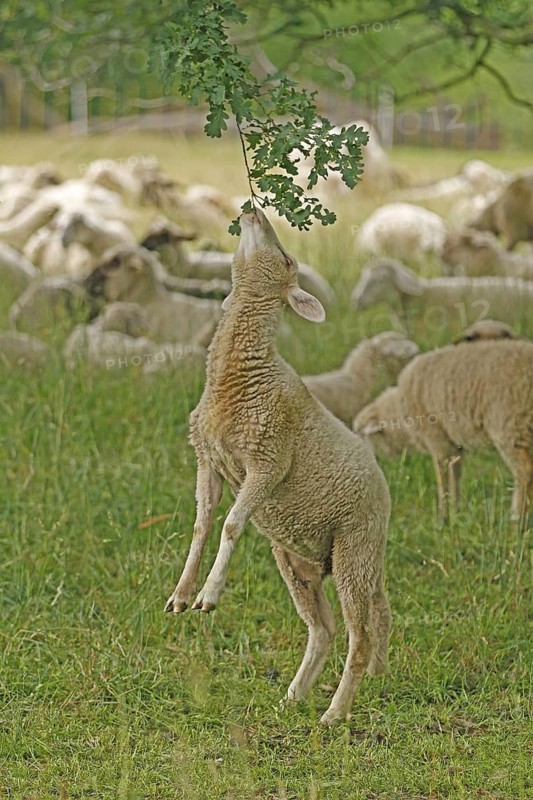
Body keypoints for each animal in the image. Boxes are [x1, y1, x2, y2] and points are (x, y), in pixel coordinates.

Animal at [165, 208, 391, 727]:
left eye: (287, 258)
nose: (253, 211)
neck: (242, 376)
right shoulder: (208, 459)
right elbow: (202, 523)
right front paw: (182, 594)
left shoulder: (268, 463)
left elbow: (231, 524)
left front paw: (209, 596)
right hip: (298, 561)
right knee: (326, 629)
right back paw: (293, 696)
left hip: (355, 547)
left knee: (360, 635)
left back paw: (335, 713)